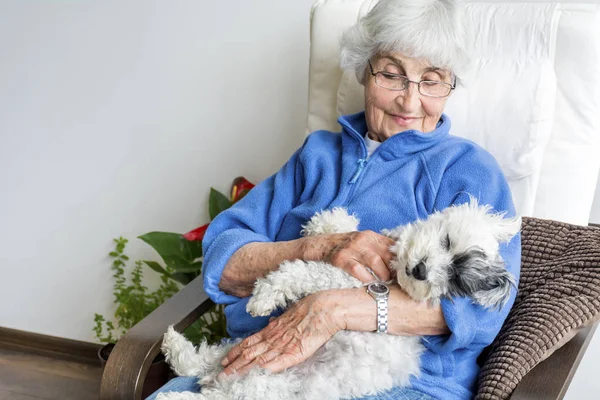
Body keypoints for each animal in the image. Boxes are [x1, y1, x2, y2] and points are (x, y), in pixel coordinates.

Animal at [159, 200, 520, 400]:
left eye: (455, 280)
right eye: (445, 241)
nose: (420, 271)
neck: (392, 272)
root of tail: (218, 380)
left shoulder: (342, 283)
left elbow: (301, 271)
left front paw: (264, 296)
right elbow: (337, 232)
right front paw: (328, 224)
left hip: (263, 383)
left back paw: (173, 396)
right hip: (241, 349)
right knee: (201, 361)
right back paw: (175, 345)